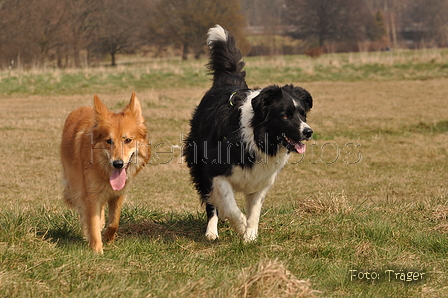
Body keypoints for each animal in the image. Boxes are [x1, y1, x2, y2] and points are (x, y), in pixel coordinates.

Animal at [184, 24, 314, 241]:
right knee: (211, 203)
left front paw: (250, 236)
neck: (255, 136)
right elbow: (229, 205)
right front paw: (240, 225)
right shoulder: (215, 171)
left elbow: (255, 210)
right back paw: (211, 232)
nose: (308, 132)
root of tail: (228, 80)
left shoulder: (261, 179)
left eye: (302, 114)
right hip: (198, 163)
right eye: (285, 116)